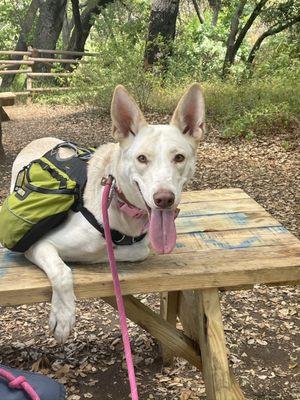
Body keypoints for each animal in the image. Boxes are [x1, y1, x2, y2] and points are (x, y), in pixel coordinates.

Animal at [10, 84, 205, 344]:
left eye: (179, 157)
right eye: (142, 158)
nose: (164, 199)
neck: (120, 208)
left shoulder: (140, 246)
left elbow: (137, 251)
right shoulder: (38, 244)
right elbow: (62, 271)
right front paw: (63, 316)